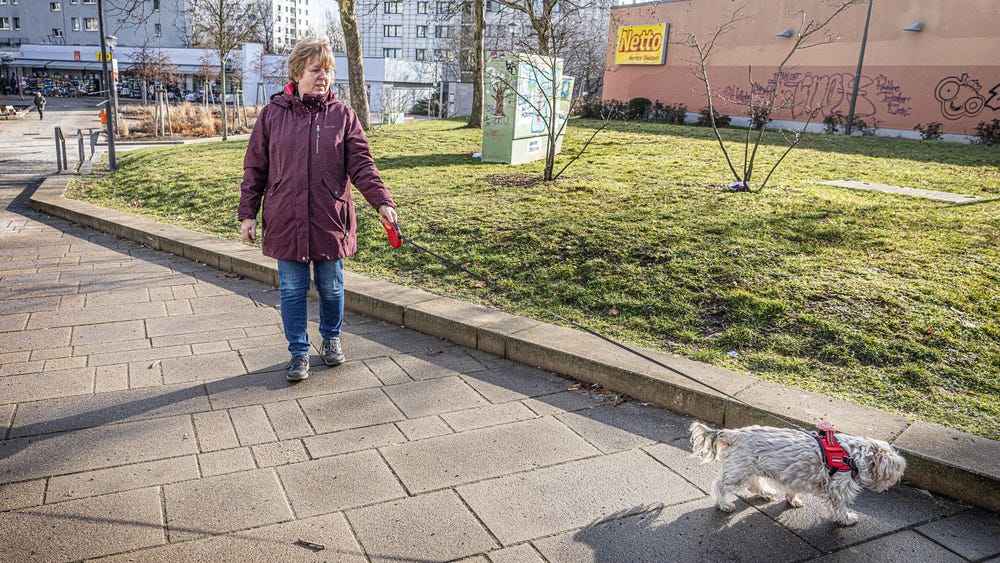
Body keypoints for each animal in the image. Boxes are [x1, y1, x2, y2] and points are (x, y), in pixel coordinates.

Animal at [688, 420, 908, 528]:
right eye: (895, 472)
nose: (896, 482)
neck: (852, 456)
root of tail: (731, 433)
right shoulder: (838, 488)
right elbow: (840, 507)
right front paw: (846, 519)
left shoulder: (796, 476)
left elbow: (792, 490)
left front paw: (792, 500)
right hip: (739, 471)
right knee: (720, 486)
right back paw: (724, 504)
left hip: (751, 467)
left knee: (754, 483)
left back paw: (767, 493)